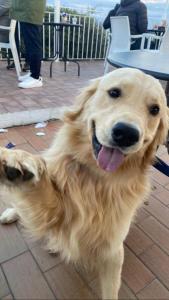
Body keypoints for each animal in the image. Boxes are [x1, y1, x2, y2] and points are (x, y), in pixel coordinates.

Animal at [0, 68, 168, 300]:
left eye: (154, 110)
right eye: (114, 92)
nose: (126, 134)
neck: (97, 180)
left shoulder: (113, 250)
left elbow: (110, 291)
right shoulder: (56, 204)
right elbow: (40, 188)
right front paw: (17, 162)